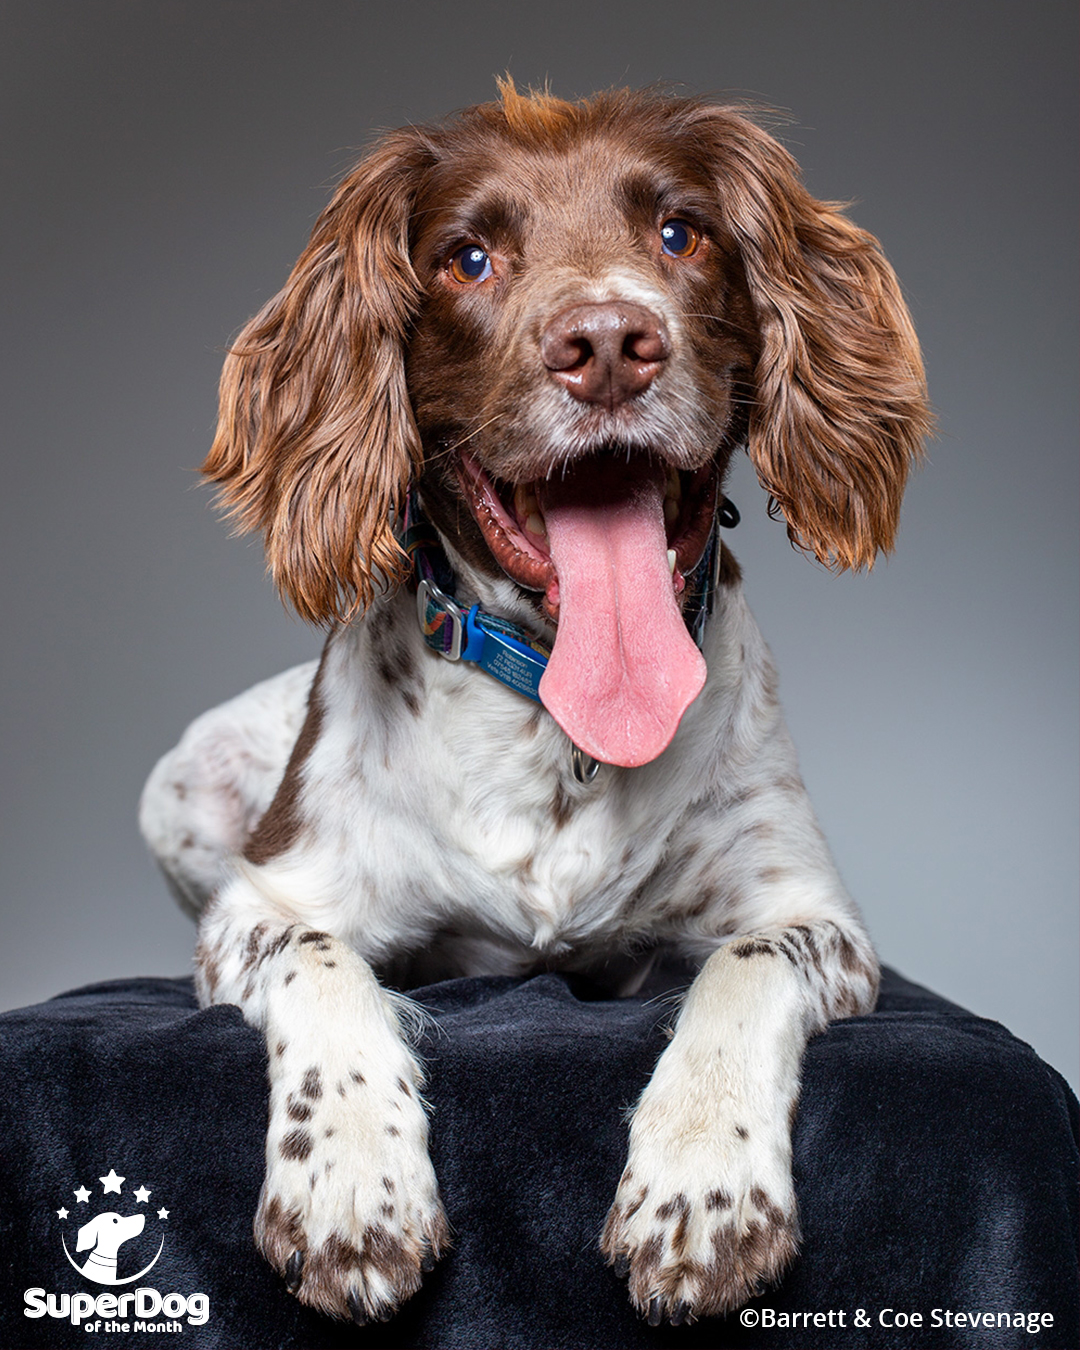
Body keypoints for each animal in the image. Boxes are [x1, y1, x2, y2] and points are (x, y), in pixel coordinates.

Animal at [140, 80, 929, 1327]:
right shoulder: (260, 906)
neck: (558, 715)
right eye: (469, 258)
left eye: (680, 233)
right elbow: (323, 962)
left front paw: (700, 1187)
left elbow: (741, 969)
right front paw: (351, 1179)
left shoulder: (814, 916)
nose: (607, 344)